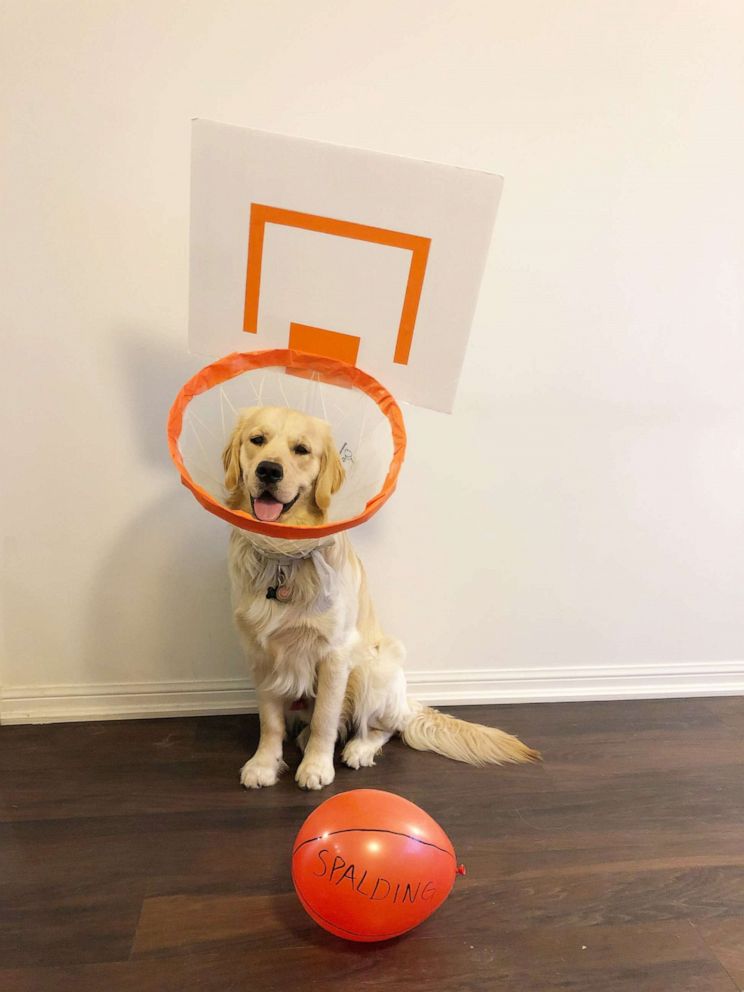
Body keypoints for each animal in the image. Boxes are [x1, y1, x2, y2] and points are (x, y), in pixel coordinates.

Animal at [224, 404, 536, 792]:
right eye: (257, 440)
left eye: (302, 450)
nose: (268, 470)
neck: (284, 556)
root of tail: (406, 701)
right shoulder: (260, 652)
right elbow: (270, 721)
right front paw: (264, 765)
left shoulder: (335, 653)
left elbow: (326, 718)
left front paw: (316, 767)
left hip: (373, 666)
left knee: (383, 727)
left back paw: (358, 748)